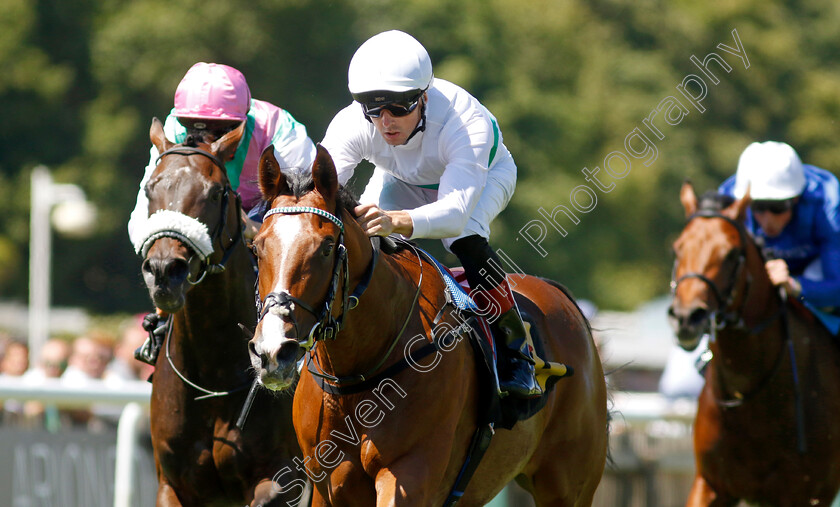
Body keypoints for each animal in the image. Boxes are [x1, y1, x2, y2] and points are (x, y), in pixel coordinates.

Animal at [136, 118, 306, 504]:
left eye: (215, 192)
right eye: (150, 190)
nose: (165, 270)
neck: (212, 375)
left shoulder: (282, 479)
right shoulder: (172, 484)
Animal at [246, 145, 608, 506]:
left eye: (325, 248)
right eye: (257, 247)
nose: (273, 352)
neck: (358, 372)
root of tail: (559, 294)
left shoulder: (409, 472)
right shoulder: (329, 483)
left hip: (567, 486)